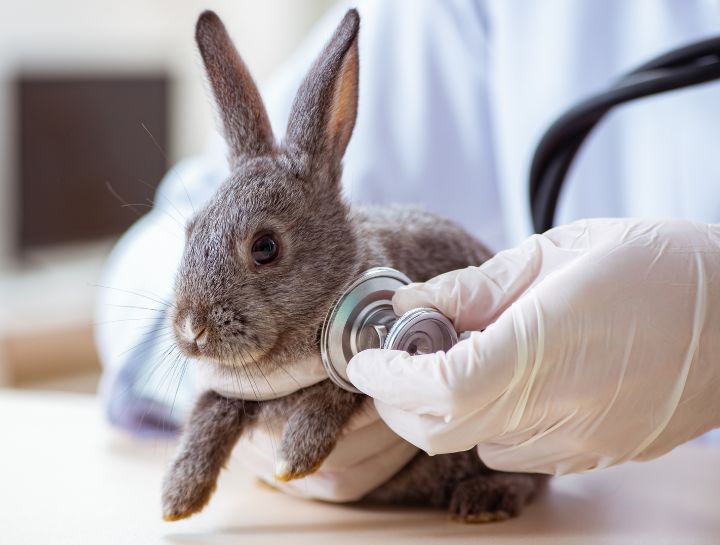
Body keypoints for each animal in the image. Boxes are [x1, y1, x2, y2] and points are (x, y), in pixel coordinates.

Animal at [161, 9, 544, 523]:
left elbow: (343, 390)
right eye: (190, 230)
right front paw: (178, 498)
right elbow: (209, 411)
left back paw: (483, 500)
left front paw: (294, 457)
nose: (191, 329)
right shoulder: (231, 392)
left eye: (265, 247)